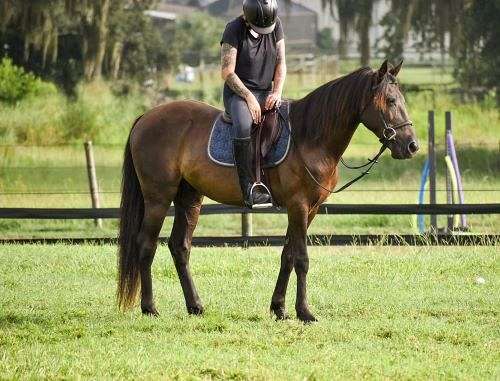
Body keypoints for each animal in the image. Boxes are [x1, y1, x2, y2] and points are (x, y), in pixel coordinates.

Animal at [116, 59, 418, 320]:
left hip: (189, 198)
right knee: (146, 245)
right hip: (158, 198)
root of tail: (145, 117)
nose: (412, 145)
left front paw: (279, 308)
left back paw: (195, 306)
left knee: (180, 247)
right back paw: (150, 307)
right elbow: (302, 258)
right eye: (391, 101)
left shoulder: (309, 210)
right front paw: (304, 312)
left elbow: (287, 256)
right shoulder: (298, 206)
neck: (310, 138)